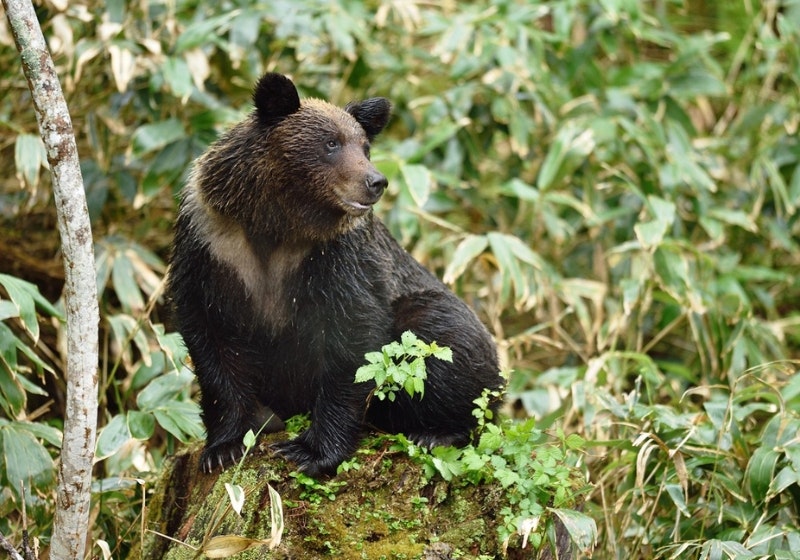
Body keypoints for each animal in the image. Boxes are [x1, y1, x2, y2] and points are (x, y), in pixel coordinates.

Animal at [170, 72, 504, 474]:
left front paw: (308, 450)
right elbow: (211, 341)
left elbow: (353, 340)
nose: (376, 182)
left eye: (365, 146)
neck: (275, 224)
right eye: (331, 143)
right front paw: (225, 446)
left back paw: (436, 432)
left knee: (443, 341)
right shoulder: (211, 249)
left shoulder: (337, 260)